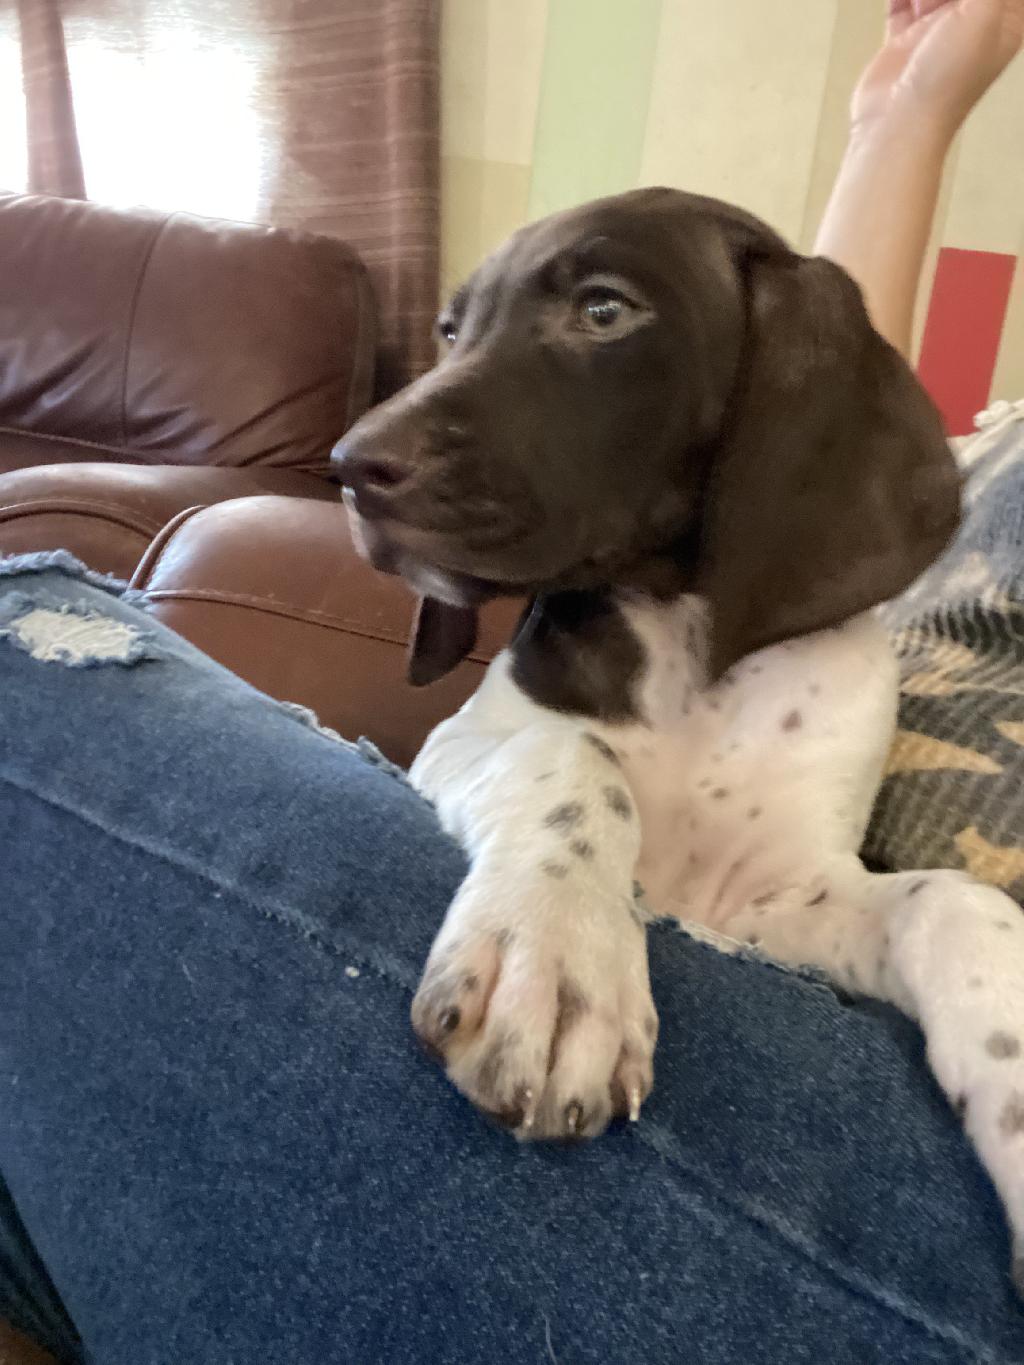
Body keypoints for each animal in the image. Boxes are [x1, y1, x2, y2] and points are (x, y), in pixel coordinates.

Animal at [333, 189, 1024, 1288]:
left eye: (605, 310)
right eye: (449, 329)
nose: (351, 467)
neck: (683, 657)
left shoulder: (770, 905)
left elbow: (954, 901)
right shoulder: (459, 744)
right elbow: (574, 759)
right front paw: (558, 953)